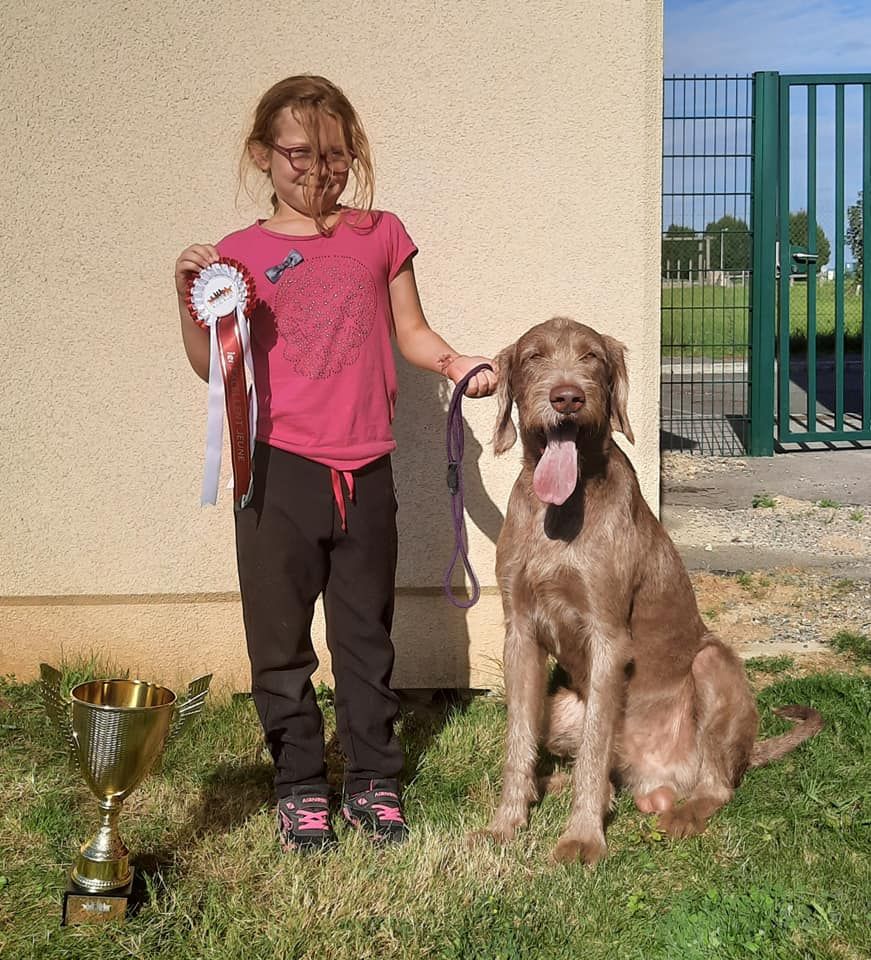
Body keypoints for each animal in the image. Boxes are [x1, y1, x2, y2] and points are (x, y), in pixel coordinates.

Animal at [476, 318, 824, 868]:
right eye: (533, 357)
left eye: (591, 356)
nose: (567, 397)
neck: (562, 510)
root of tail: (655, 779)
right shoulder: (521, 633)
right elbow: (519, 740)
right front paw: (505, 824)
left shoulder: (607, 635)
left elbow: (594, 747)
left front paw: (582, 838)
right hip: (560, 706)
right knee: (590, 764)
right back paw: (558, 787)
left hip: (713, 667)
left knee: (716, 785)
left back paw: (681, 812)